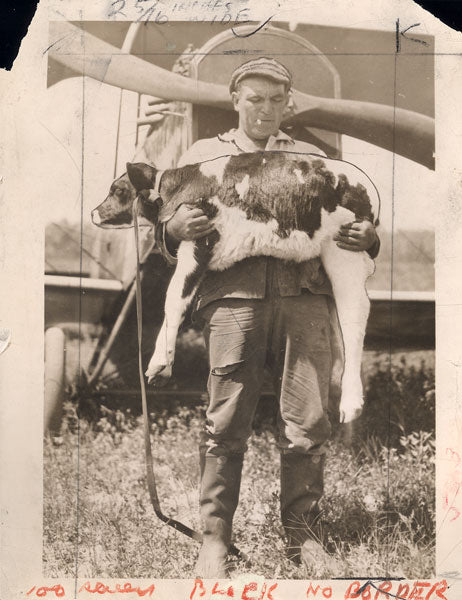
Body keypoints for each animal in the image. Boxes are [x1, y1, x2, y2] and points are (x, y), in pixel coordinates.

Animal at [91, 152, 378, 424]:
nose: (93, 212)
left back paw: (351, 403)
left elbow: (174, 299)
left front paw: (159, 364)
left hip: (345, 252)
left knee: (355, 316)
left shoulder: (199, 241)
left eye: (117, 190)